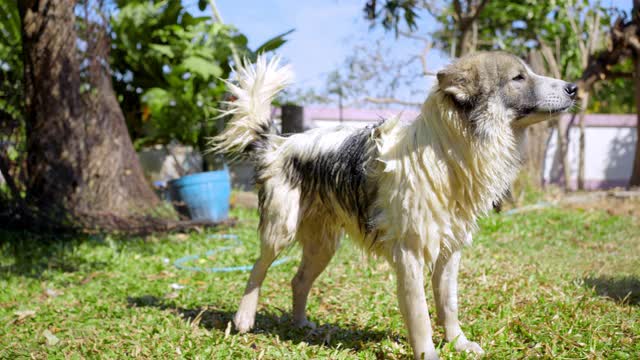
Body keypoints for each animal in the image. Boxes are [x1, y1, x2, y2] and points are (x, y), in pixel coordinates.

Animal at [210, 52, 576, 358]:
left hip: (323, 244)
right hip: (281, 227)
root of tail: (277, 142)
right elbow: (420, 316)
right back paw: (244, 318)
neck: (446, 155)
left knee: (298, 281)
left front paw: (458, 344)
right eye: (518, 77)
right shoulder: (410, 255)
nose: (573, 88)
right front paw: (429, 354)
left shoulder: (450, 251)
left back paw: (301, 325)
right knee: (258, 267)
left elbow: (448, 305)